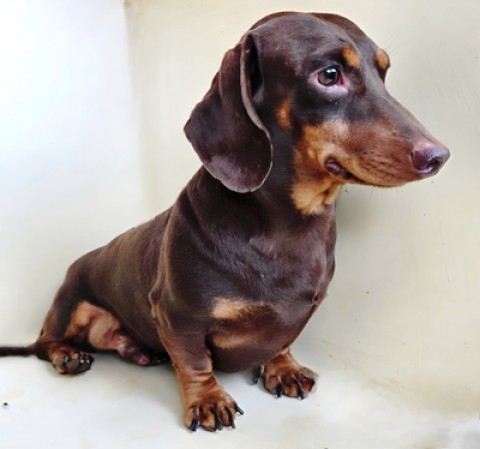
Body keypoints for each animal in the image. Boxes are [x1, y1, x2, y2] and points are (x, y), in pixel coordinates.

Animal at [0, 12, 449, 432]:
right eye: (329, 75)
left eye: (384, 72)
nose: (439, 156)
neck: (291, 227)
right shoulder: (177, 315)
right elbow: (194, 360)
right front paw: (208, 400)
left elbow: (281, 341)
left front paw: (282, 369)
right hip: (70, 304)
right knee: (45, 342)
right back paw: (68, 355)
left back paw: (141, 350)